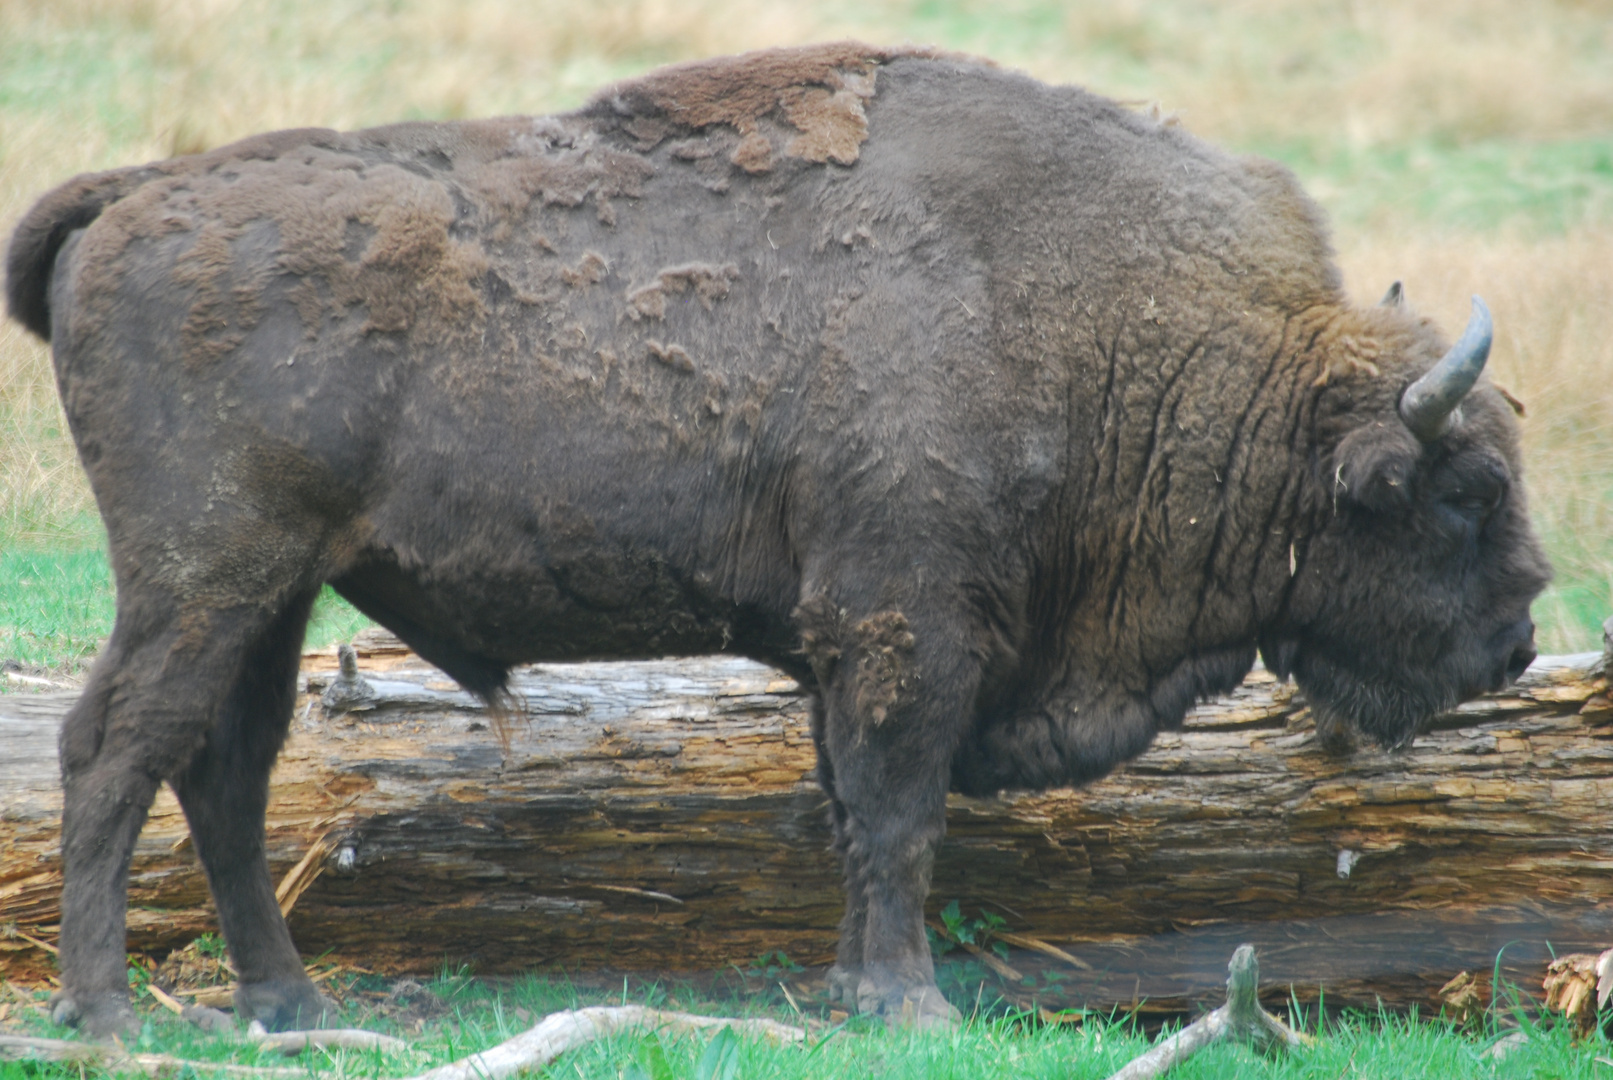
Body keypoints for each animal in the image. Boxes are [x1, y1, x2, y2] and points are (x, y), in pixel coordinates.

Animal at [6, 44, 1554, 1038]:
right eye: (1463, 491)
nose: (1517, 641)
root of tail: (128, 194)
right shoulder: (906, 629)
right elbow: (899, 812)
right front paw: (912, 1006)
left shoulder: (846, 647)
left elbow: (853, 817)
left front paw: (852, 993)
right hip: (209, 577)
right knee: (116, 748)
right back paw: (106, 1012)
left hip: (275, 596)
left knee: (224, 771)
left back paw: (286, 1003)